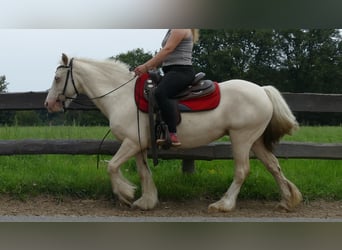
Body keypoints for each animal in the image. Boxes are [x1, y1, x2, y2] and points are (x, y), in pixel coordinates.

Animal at [44, 53, 302, 212]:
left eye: (57, 78)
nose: (49, 104)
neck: (120, 96)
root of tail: (262, 90)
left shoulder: (130, 143)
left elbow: (112, 167)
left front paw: (125, 194)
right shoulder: (138, 144)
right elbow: (143, 172)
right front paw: (146, 201)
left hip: (241, 138)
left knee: (242, 171)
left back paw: (224, 204)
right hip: (255, 140)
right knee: (273, 166)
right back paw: (287, 201)